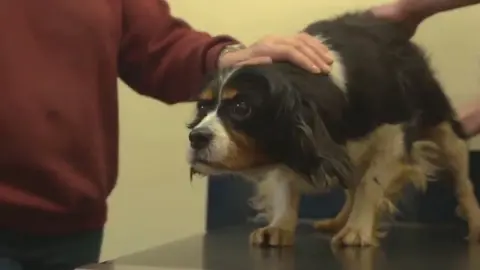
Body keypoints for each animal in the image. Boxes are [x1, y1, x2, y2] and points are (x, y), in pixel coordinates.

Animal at [185, 10, 480, 247]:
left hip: (443, 127)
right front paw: (280, 226)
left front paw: (357, 229)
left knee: (462, 180)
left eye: (242, 107)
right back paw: (337, 221)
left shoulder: (394, 132)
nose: (196, 137)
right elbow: (285, 186)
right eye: (202, 106)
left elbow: (371, 184)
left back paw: (475, 222)